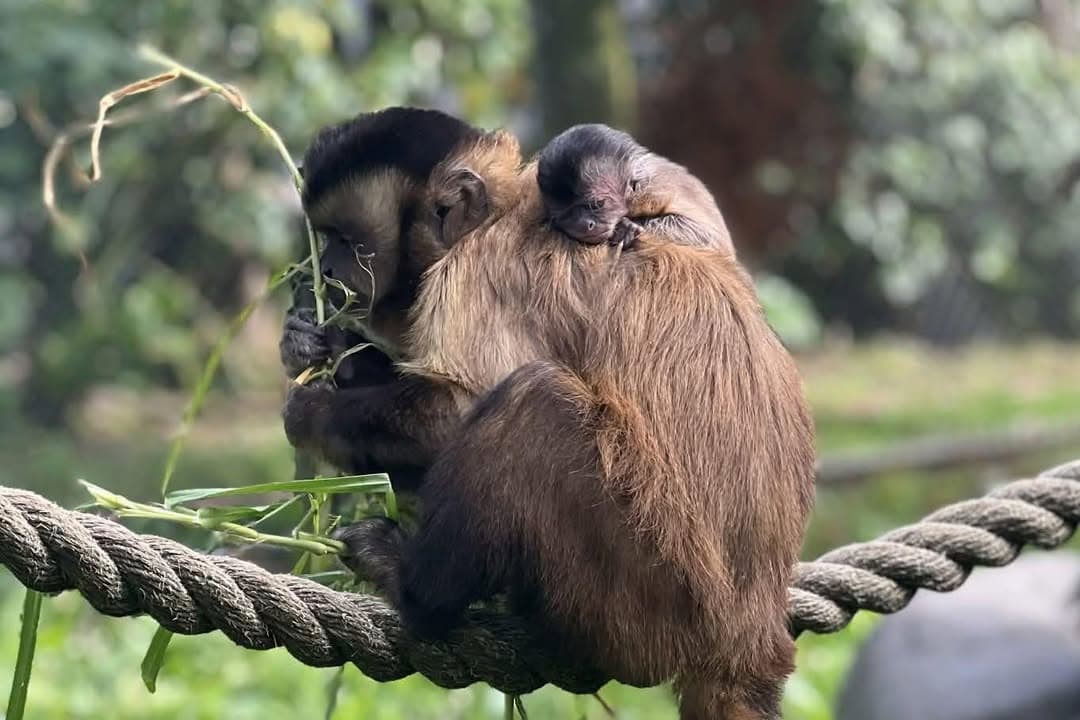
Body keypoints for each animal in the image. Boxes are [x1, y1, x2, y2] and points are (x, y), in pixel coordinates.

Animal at [536, 122, 735, 253]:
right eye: (566, 217)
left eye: (597, 204)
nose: (584, 225)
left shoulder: (653, 191)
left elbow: (708, 238)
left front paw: (627, 228)